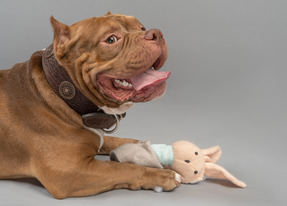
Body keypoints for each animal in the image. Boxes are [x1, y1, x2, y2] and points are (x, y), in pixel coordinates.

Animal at [0, 12, 180, 198]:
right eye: (111, 39)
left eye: (142, 27)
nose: (156, 33)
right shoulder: (69, 171)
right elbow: (121, 168)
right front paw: (161, 176)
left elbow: (114, 140)